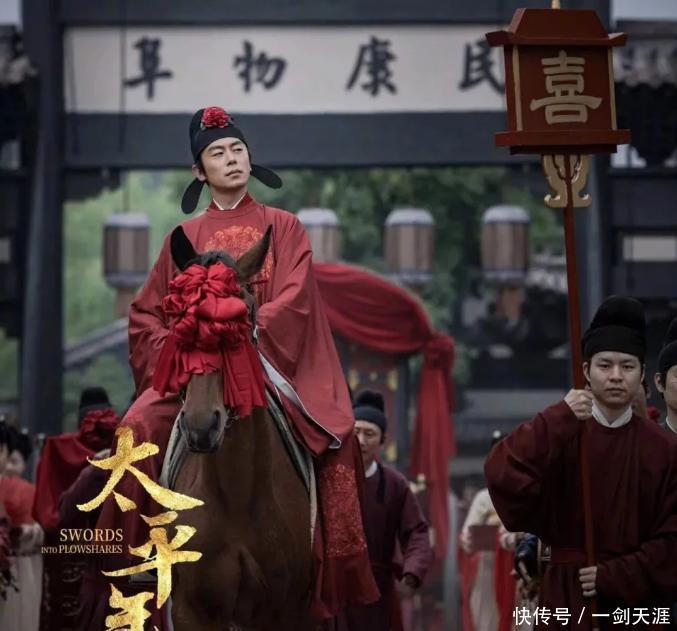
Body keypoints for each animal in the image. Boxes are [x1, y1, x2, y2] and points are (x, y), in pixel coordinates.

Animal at [165, 226, 313, 631]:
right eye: (178, 320)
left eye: (243, 318)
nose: (201, 424)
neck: (237, 496)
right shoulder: (192, 610)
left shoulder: (284, 609)